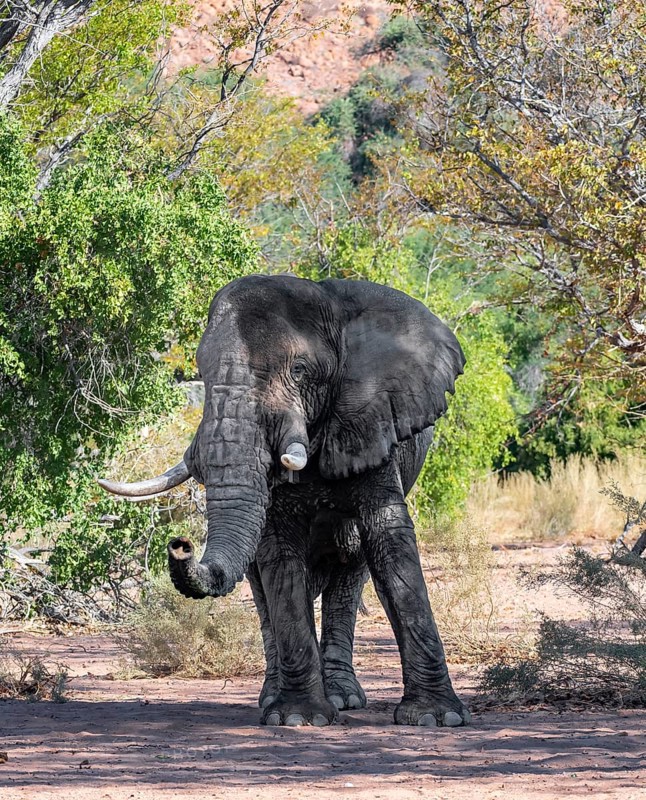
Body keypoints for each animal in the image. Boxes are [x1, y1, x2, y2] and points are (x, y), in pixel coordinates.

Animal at [99, 274, 470, 728]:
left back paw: (343, 697)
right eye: (202, 373)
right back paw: (275, 698)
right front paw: (298, 718)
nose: (180, 544)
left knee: (350, 572)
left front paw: (437, 718)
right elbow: (279, 554)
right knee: (263, 585)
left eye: (299, 370)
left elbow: (390, 541)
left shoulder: (372, 423)